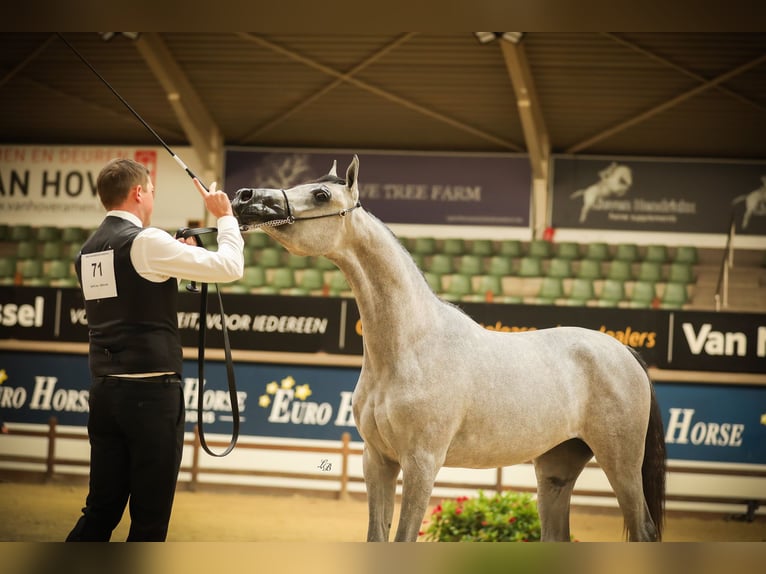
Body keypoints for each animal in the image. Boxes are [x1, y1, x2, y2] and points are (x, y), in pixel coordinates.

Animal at [232, 158, 664, 544]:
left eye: (320, 194)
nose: (243, 197)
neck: (411, 347)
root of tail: (626, 354)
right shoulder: (378, 461)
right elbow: (377, 536)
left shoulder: (422, 464)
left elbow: (404, 538)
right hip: (556, 468)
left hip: (621, 463)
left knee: (644, 529)